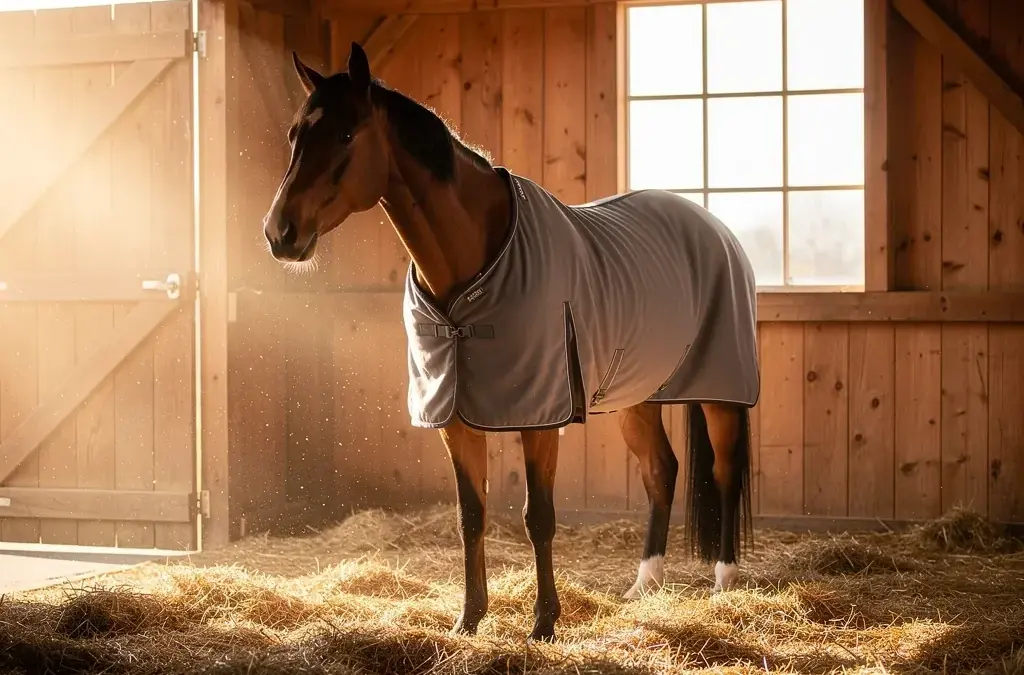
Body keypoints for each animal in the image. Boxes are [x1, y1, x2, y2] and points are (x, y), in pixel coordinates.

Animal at [262, 42, 759, 643]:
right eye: (294, 135)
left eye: (347, 134)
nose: (280, 233)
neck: (474, 267)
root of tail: (714, 228)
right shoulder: (453, 417)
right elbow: (470, 516)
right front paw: (470, 618)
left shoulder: (539, 417)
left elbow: (537, 517)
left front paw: (543, 623)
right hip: (637, 396)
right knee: (662, 472)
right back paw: (645, 585)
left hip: (721, 390)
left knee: (725, 474)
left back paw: (724, 583)